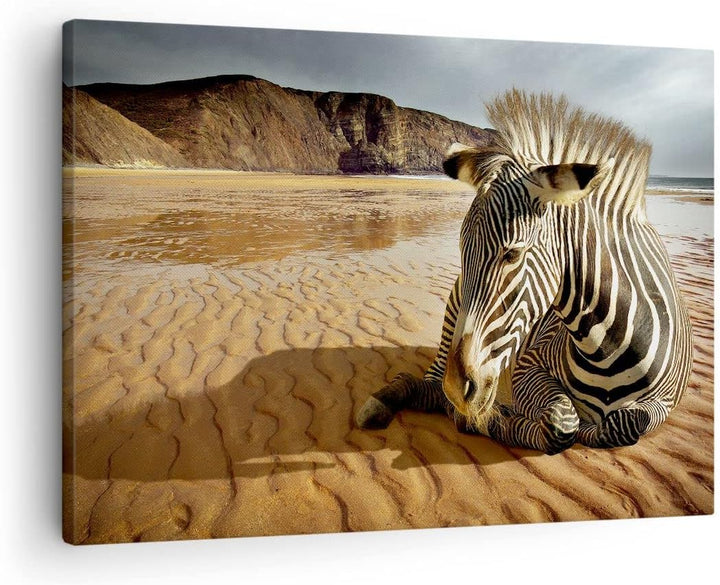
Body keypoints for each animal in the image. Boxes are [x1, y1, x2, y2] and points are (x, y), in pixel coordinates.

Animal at [356, 90, 693, 454]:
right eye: (462, 251)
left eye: (512, 254)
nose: (458, 389)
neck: (608, 347)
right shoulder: (527, 365)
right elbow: (562, 423)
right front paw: (489, 420)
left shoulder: (666, 401)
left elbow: (625, 423)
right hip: (453, 315)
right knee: (430, 385)